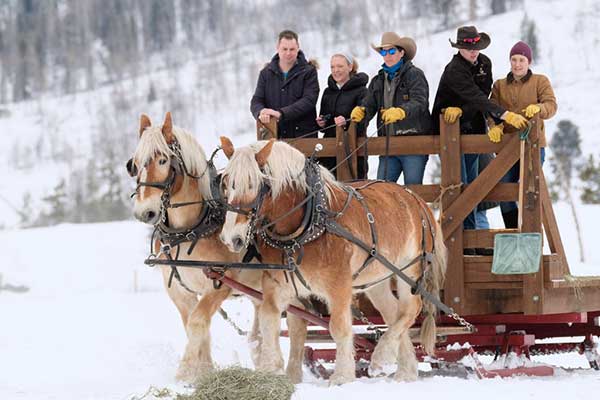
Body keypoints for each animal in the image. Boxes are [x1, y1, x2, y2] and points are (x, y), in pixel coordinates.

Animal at [127, 112, 266, 382]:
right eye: (134, 164)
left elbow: (198, 322)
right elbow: (194, 325)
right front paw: (203, 372)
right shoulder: (179, 289)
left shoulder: (220, 284)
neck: (189, 229)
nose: (144, 212)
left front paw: (183, 374)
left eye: (162, 160)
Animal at [218, 138, 448, 384]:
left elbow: (338, 327)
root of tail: (417, 200)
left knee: (410, 309)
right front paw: (272, 372)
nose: (231, 238)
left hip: (410, 269)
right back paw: (403, 369)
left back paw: (382, 356)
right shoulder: (278, 286)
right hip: (376, 279)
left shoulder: (339, 286)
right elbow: (273, 321)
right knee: (393, 312)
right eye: (226, 183)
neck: (307, 225)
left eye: (255, 184)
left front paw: (342, 376)